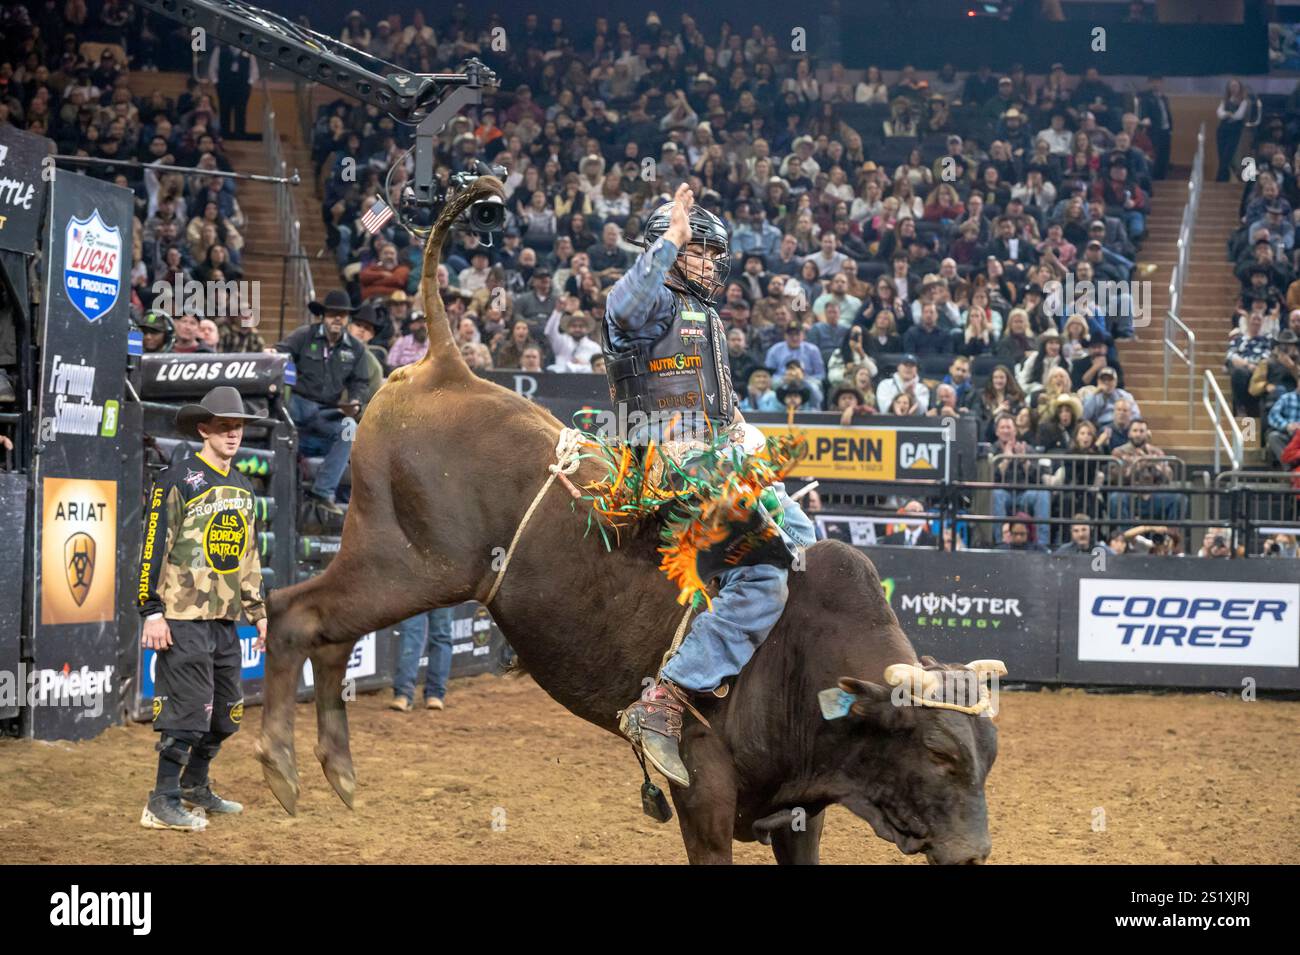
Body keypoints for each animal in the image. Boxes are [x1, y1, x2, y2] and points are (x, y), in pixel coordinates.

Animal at [256, 179, 1003, 867]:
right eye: (938, 752)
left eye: (987, 757)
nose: (974, 852)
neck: (801, 658)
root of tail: (448, 367)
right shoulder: (705, 791)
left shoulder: (799, 814)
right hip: (408, 562)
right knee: (295, 611)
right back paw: (282, 764)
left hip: (396, 565)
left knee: (330, 634)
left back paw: (337, 768)